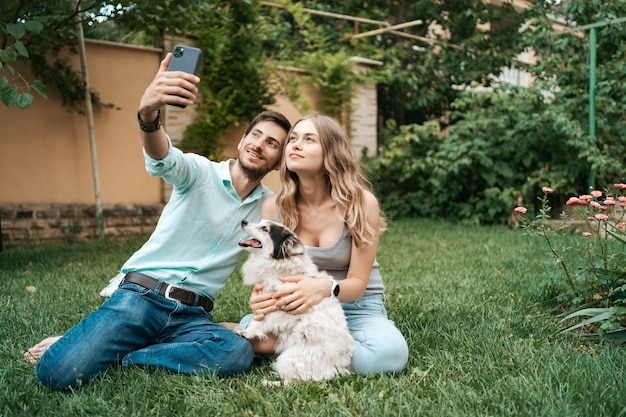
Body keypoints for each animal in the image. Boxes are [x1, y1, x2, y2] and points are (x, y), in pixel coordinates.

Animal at [235, 218, 352, 384]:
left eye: (265, 229)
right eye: (260, 222)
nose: (243, 221)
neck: (279, 266)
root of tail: (333, 369)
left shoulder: (277, 308)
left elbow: (258, 322)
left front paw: (246, 332)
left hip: (288, 359)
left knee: (292, 382)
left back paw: (269, 383)